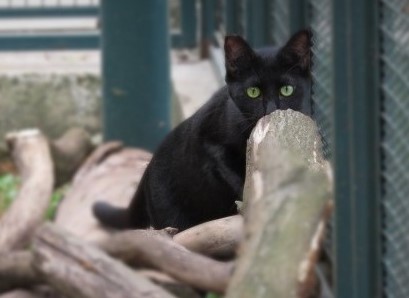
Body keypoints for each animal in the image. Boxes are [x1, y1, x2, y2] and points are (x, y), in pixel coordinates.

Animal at [93, 29, 310, 230]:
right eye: (253, 92)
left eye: (286, 90)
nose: (271, 111)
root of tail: (148, 167)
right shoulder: (211, 144)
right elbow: (236, 178)